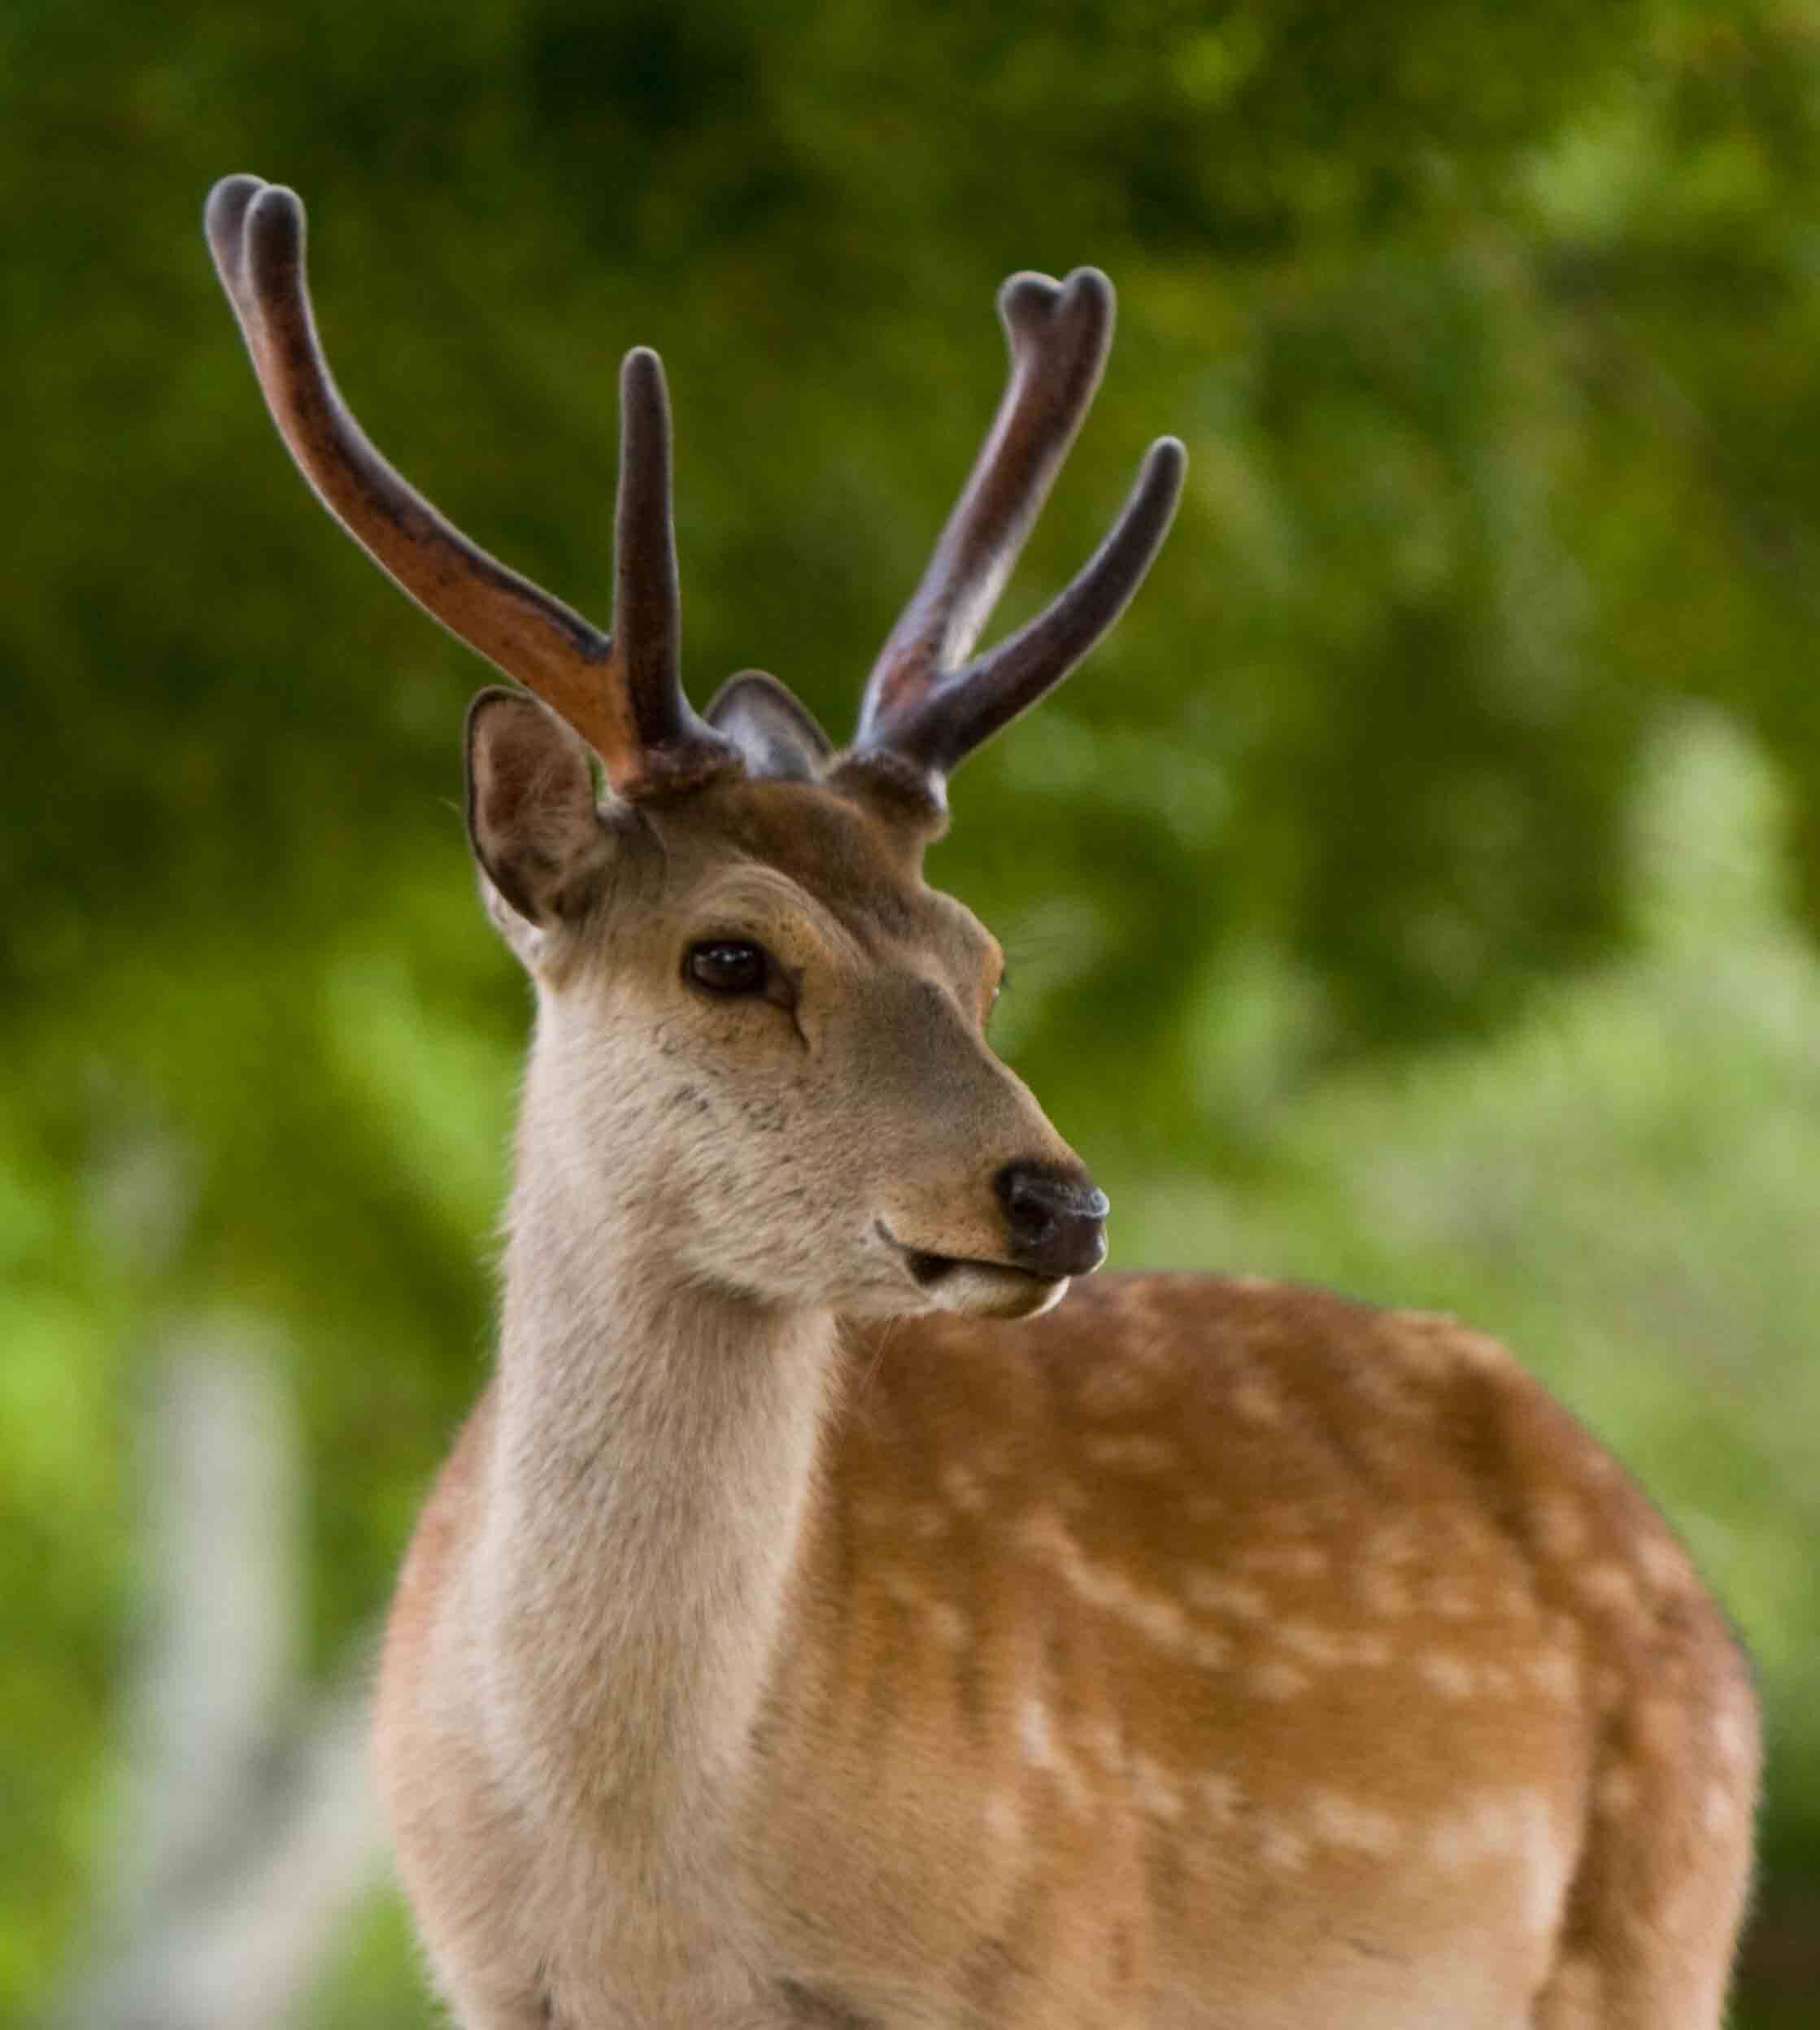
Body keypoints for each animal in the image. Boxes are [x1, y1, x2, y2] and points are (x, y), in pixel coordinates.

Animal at [204, 174, 1759, 2030]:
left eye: (983, 956)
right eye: (728, 955)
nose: (1057, 1200)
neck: (652, 1903)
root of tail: (1677, 1578)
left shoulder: (1062, 1952)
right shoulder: (482, 1974)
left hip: (1657, 1916)